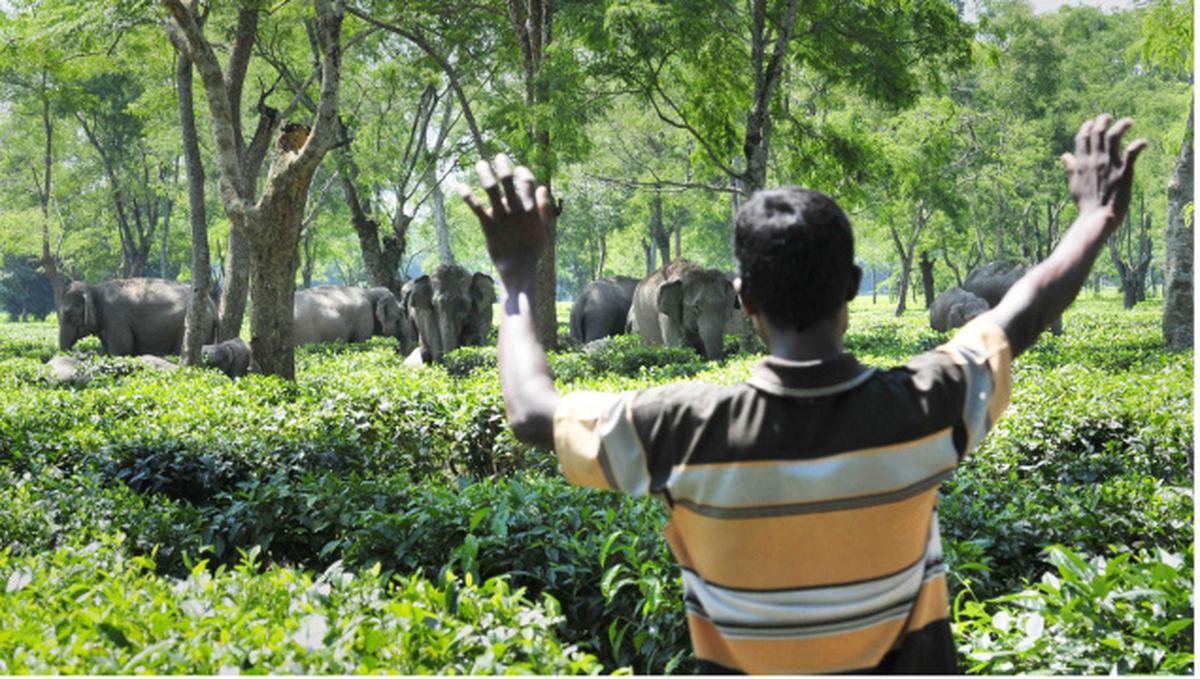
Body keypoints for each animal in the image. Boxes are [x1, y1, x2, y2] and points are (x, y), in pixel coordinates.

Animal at [58, 278, 220, 356]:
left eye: (69, 314)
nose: (82, 352)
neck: (94, 288)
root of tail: (212, 305)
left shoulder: (115, 317)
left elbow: (121, 349)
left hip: (194, 325)